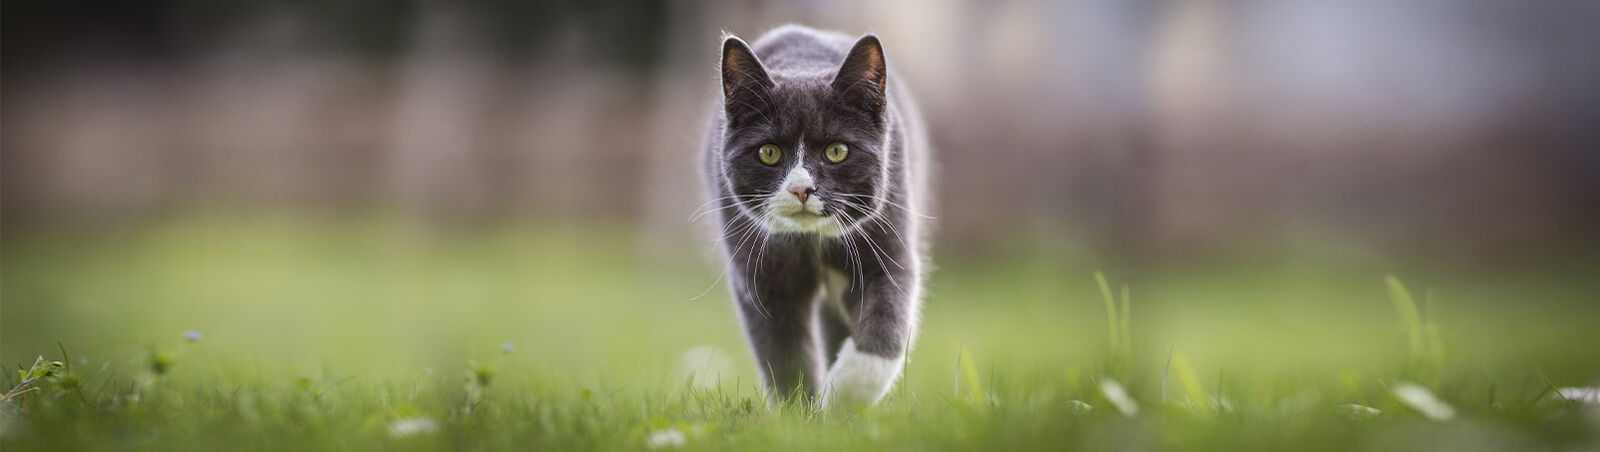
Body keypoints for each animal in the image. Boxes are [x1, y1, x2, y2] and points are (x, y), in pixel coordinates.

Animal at [697, 25, 934, 410]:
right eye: (768, 152)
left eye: (837, 151)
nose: (801, 189)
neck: (812, 241)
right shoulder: (761, 274)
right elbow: (785, 352)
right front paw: (798, 412)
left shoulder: (886, 238)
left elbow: (884, 328)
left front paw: (837, 403)